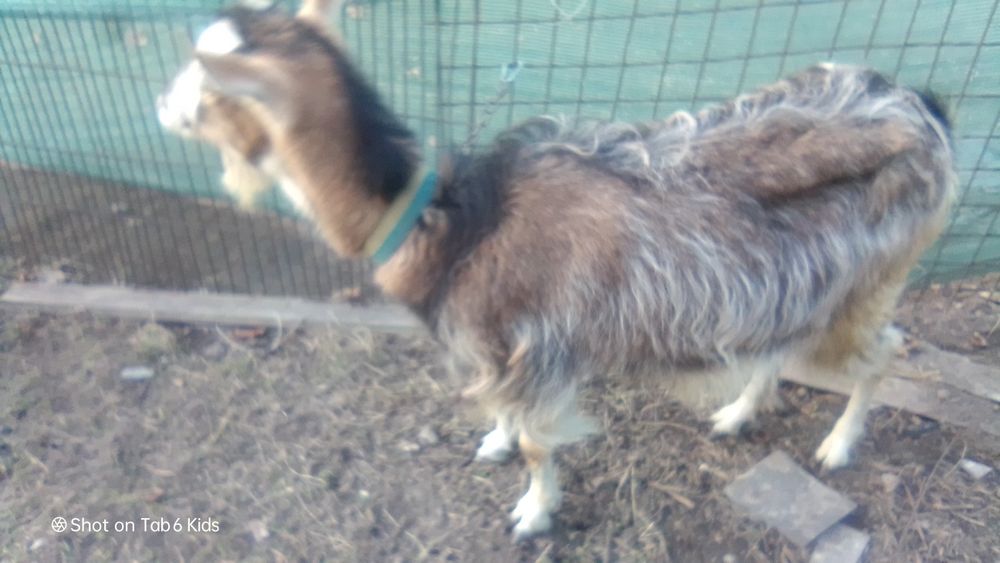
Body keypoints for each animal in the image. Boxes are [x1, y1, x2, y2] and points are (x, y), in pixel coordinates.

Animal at [156, 3, 956, 540]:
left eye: (211, 81)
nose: (161, 104)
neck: (450, 220)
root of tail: (920, 106)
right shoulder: (502, 347)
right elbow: (507, 418)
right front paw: (495, 441)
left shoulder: (537, 347)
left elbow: (543, 443)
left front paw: (533, 513)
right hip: (799, 284)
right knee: (782, 343)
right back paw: (735, 414)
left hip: (871, 282)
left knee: (885, 352)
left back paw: (838, 446)